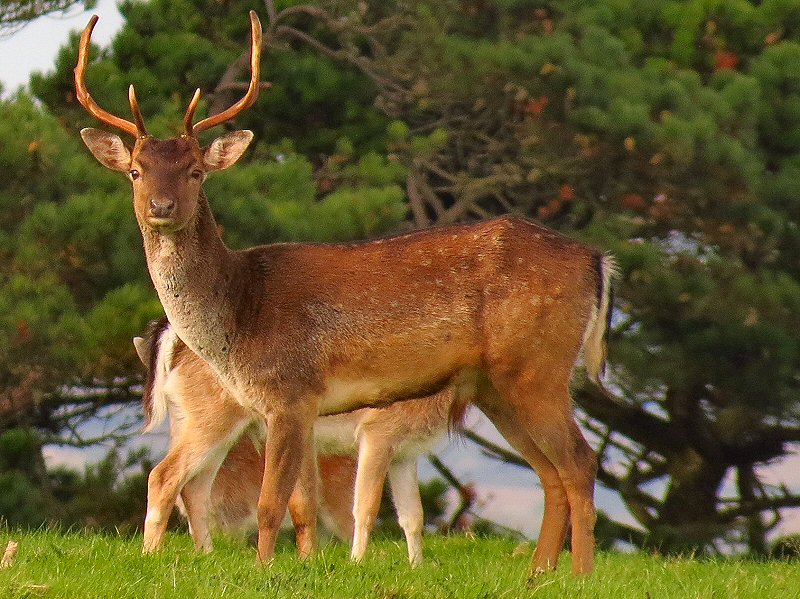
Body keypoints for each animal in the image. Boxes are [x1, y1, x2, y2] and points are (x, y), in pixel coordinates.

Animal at [134, 318, 460, 568]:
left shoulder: (406, 452)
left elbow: (413, 515)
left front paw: (417, 568)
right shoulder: (377, 433)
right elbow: (365, 507)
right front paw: (357, 562)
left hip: (197, 422)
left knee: (194, 486)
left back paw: (207, 554)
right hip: (211, 419)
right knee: (163, 475)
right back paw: (151, 553)